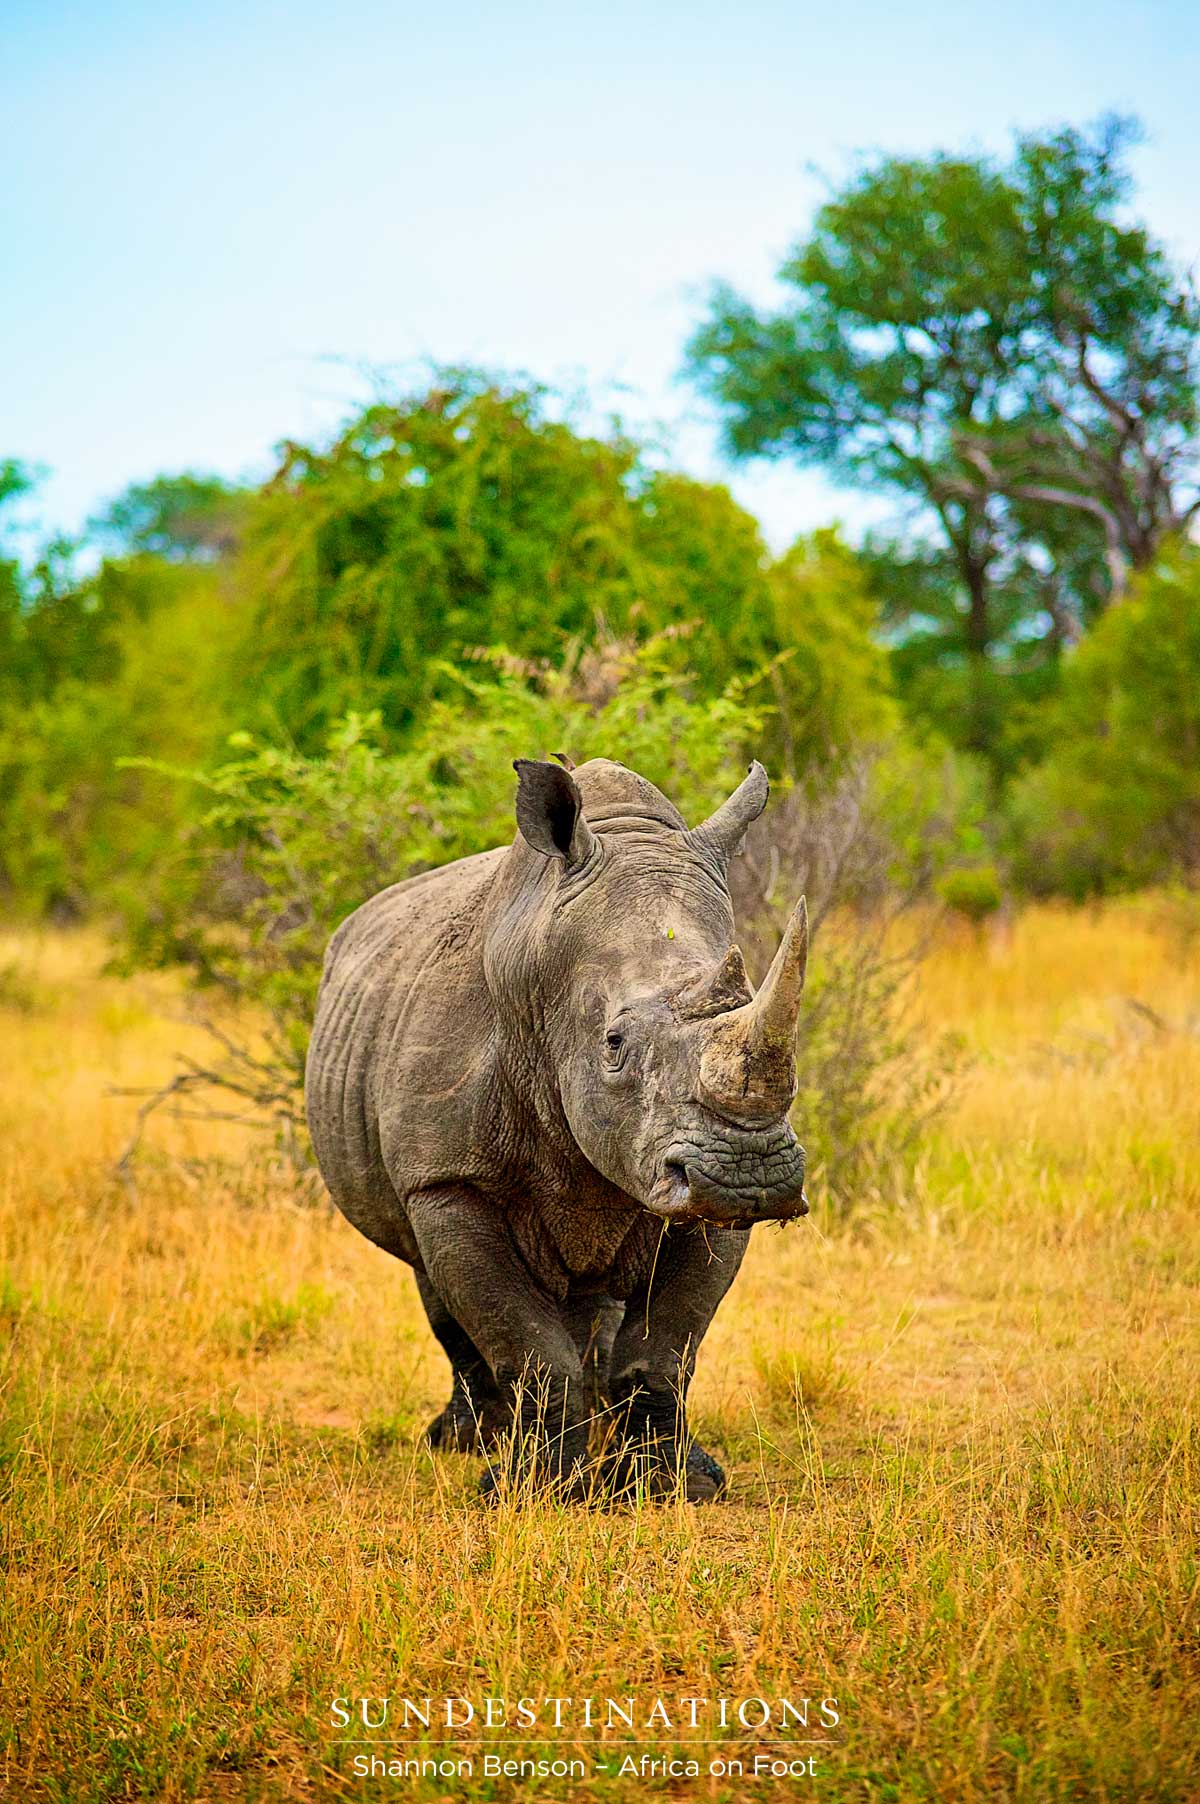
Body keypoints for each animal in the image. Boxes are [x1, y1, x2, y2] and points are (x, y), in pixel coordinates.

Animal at [305, 755, 809, 1501]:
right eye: (614, 1044)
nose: (750, 1175)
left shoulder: (700, 1198)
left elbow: (667, 1348)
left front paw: (677, 1485)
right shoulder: (445, 1177)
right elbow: (524, 1344)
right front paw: (528, 1490)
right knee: (436, 1287)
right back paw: (464, 1442)